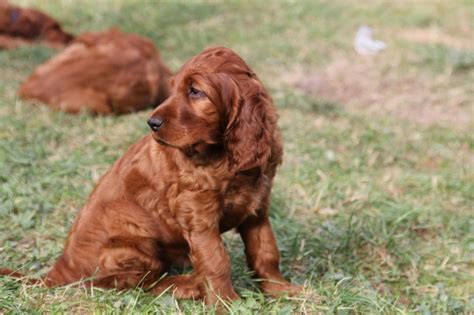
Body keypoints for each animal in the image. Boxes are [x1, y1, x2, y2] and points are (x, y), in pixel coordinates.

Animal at [0, 46, 300, 304]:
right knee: (135, 284)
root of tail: (59, 271)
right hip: (134, 242)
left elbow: (265, 251)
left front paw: (282, 290)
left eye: (195, 91)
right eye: (174, 88)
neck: (223, 153)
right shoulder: (198, 215)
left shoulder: (257, 208)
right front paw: (226, 302)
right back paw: (189, 285)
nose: (151, 123)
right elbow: (216, 261)